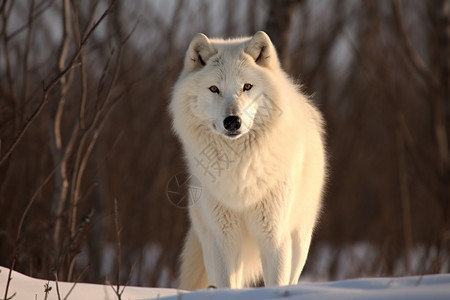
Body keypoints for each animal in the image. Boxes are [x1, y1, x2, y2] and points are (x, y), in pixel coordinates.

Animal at [171, 31, 326, 290]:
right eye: (214, 88)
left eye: (247, 87)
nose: (232, 121)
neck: (240, 167)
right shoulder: (223, 238)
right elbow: (227, 285)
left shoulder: (274, 236)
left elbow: (276, 282)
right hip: (209, 242)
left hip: (299, 241)